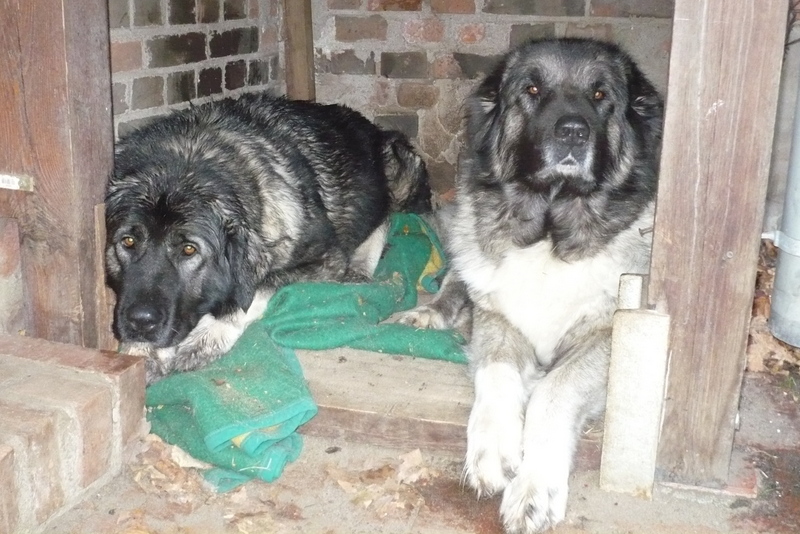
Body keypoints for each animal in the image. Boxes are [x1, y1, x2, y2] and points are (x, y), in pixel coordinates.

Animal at [105, 92, 430, 385]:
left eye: (189, 249)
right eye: (128, 242)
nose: (140, 322)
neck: (189, 156)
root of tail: (372, 125)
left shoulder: (327, 258)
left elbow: (255, 290)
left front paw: (209, 334)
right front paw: (141, 351)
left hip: (398, 165)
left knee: (388, 215)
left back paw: (362, 265)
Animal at [401, 38, 663, 532]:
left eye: (601, 95)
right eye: (533, 89)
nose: (573, 132)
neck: (549, 233)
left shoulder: (605, 336)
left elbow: (553, 391)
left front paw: (534, 488)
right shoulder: (499, 321)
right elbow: (497, 372)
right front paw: (491, 452)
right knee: (456, 278)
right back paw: (426, 313)